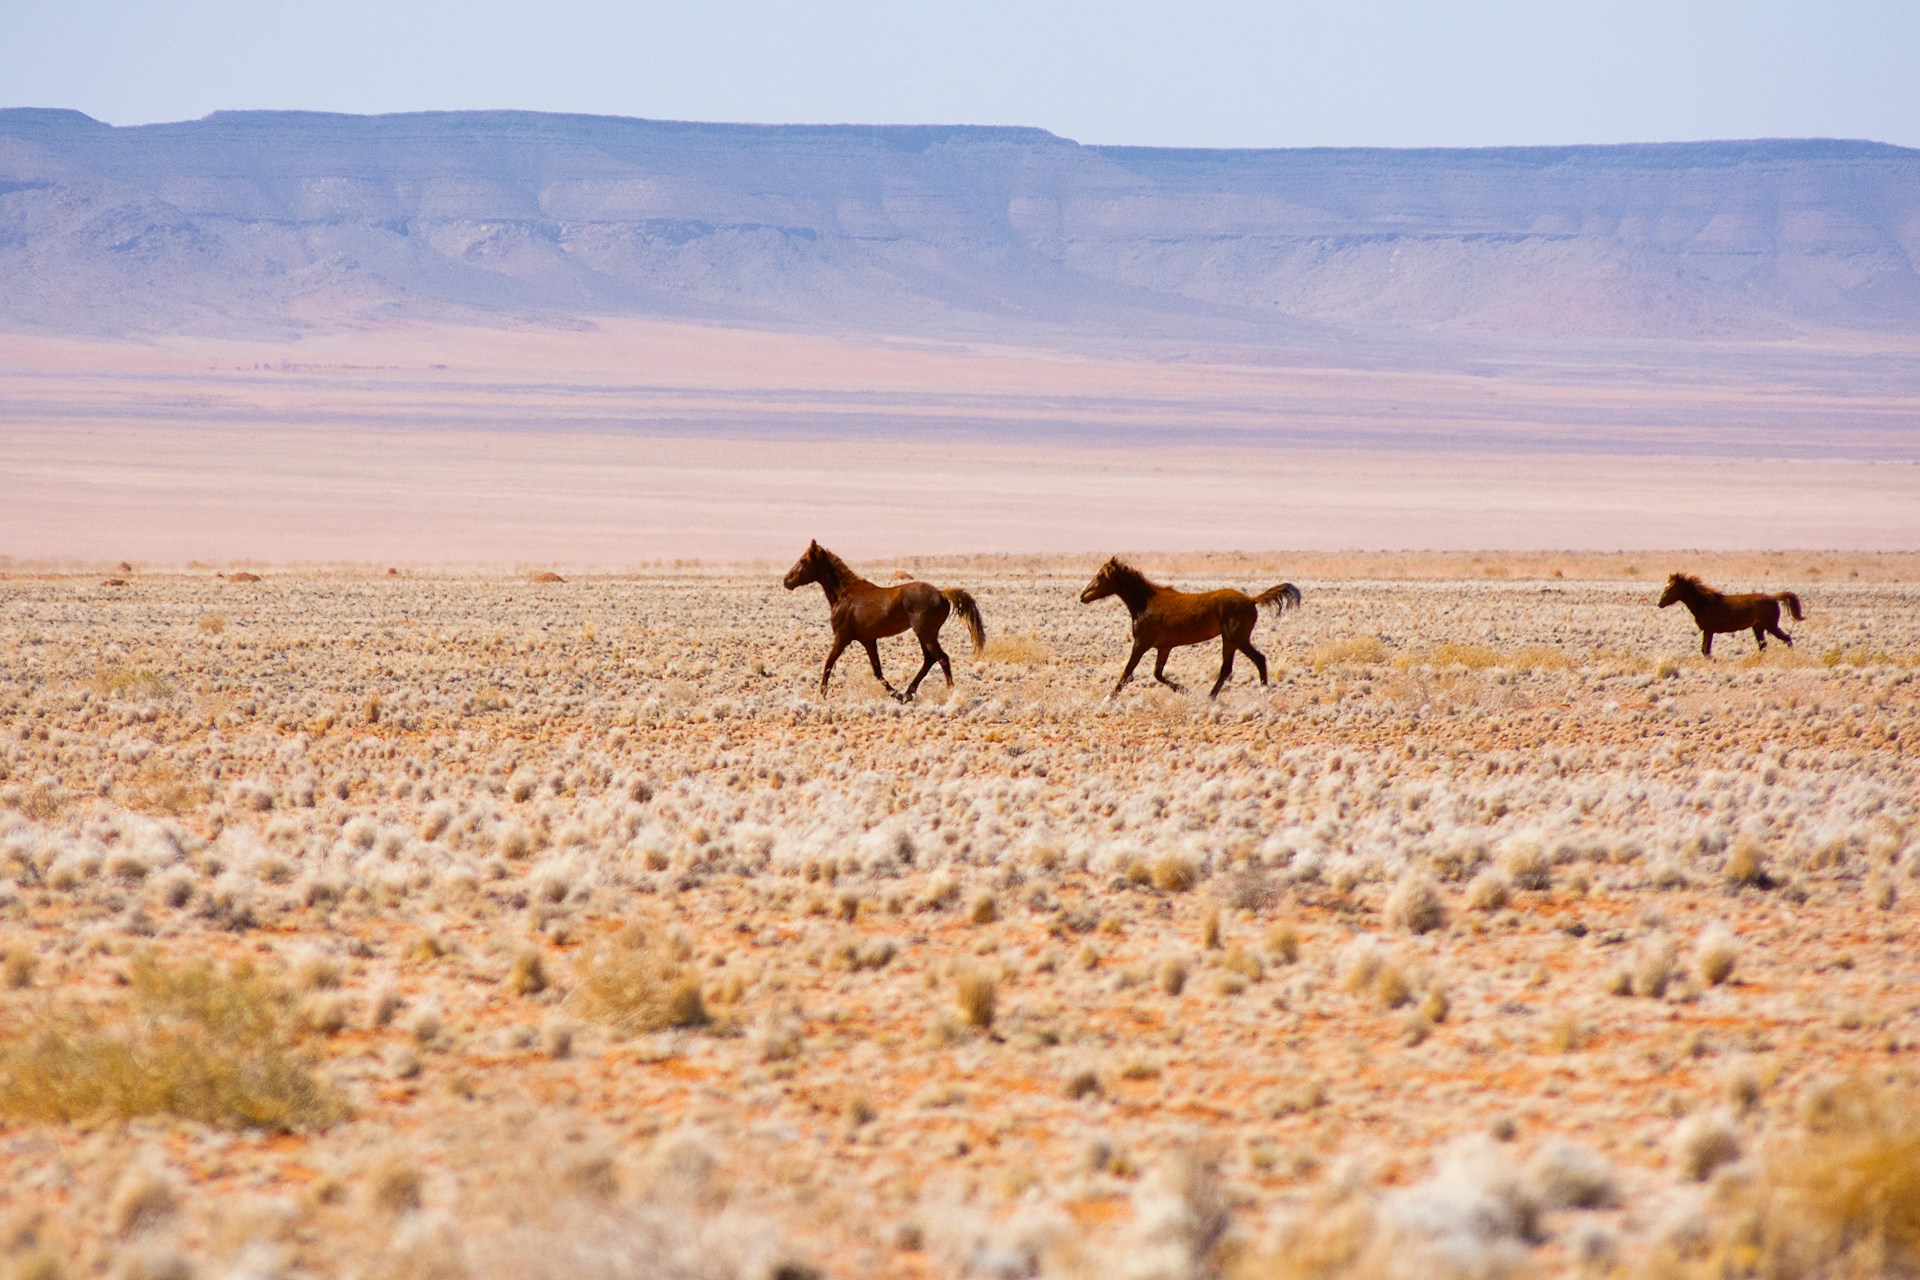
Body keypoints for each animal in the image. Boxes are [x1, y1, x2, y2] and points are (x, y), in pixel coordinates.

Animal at [783, 541, 986, 700]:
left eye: (803, 560)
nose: (786, 581)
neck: (844, 594)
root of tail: (942, 594)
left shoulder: (842, 637)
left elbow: (828, 663)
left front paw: (822, 693)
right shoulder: (868, 640)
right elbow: (877, 670)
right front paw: (895, 693)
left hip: (925, 633)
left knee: (942, 658)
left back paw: (949, 692)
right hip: (925, 635)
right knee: (929, 659)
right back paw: (908, 693)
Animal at [1079, 557, 1301, 698]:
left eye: (1100, 576)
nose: (1083, 596)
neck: (1145, 603)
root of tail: (1252, 600)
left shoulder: (1141, 643)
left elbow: (1127, 672)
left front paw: (1108, 699)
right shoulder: (1164, 647)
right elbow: (1157, 674)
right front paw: (1185, 690)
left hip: (1237, 638)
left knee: (1258, 659)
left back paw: (1262, 692)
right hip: (1230, 640)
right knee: (1227, 668)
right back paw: (1210, 697)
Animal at [1657, 572, 1804, 657]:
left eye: (1671, 588)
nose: (1660, 603)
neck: (1703, 603)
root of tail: (1773, 598)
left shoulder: (1709, 630)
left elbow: (1706, 650)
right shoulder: (1707, 631)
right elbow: (1704, 650)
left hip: (1770, 625)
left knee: (1787, 638)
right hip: (1758, 627)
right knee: (1763, 645)